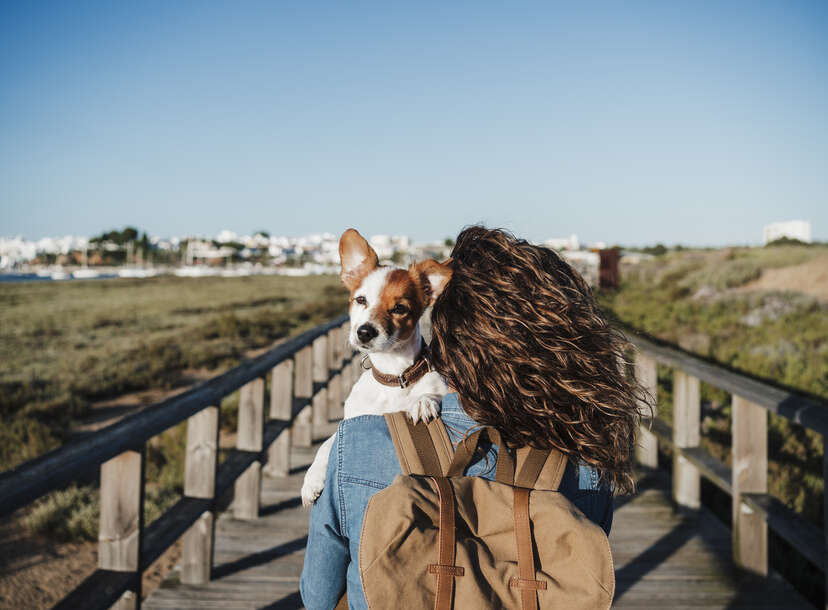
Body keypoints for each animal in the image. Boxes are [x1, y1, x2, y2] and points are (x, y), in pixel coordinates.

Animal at [300, 227, 450, 504]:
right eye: (360, 300)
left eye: (400, 308)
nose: (365, 332)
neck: (393, 376)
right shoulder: (351, 420)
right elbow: (327, 443)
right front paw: (311, 479)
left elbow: (431, 392)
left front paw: (422, 401)